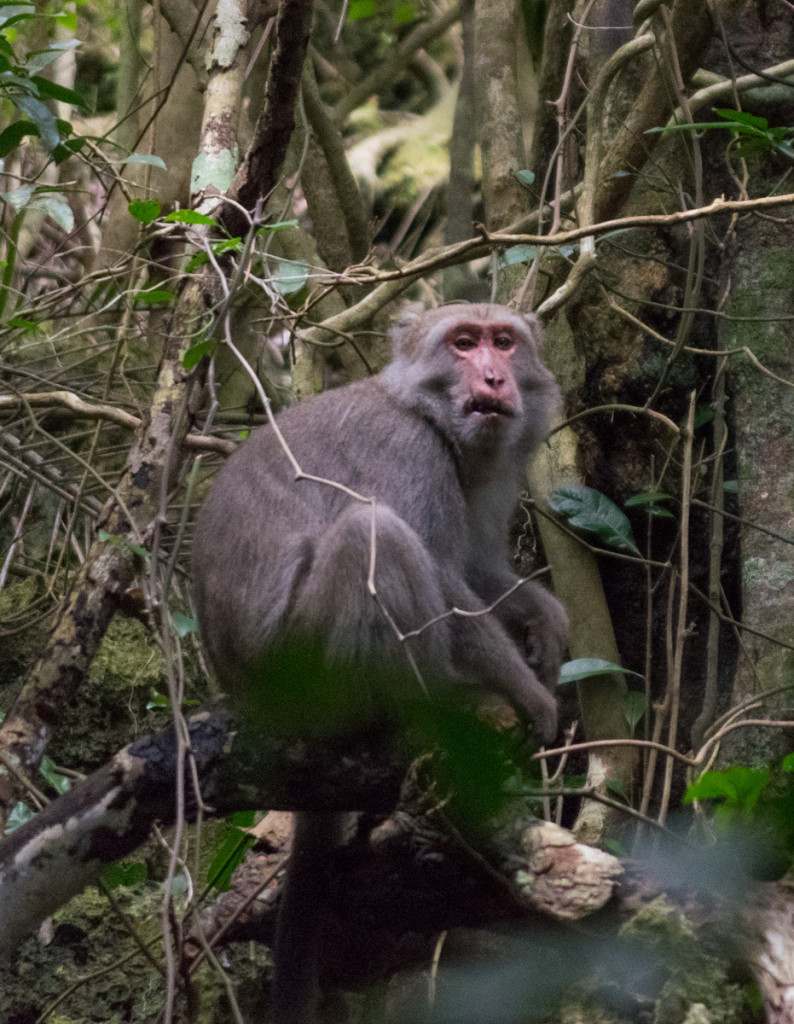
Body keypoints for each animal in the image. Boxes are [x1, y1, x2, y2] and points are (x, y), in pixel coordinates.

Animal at [190, 303, 565, 1024]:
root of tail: (241, 693)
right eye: (463, 343)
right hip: (305, 675)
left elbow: (477, 566)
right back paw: (436, 707)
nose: (494, 377)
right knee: (376, 535)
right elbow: (443, 575)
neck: (431, 417)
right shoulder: (409, 452)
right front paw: (527, 693)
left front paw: (545, 618)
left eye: (504, 342)